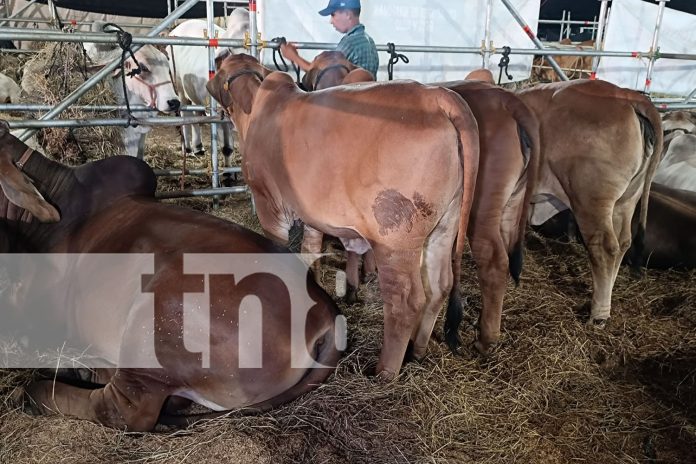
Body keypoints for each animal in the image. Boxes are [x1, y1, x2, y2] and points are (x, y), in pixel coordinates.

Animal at [167, 7, 249, 169]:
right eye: (230, 49)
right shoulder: (218, 114)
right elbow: (227, 147)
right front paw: (228, 173)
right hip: (179, 88)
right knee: (185, 114)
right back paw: (187, 148)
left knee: (195, 115)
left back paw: (198, 146)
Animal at [207, 53, 478, 380]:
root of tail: (438, 96)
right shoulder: (310, 213)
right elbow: (309, 251)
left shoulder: (267, 203)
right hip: (445, 225)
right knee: (440, 286)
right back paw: (417, 351)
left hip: (395, 237)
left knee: (406, 301)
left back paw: (385, 371)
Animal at [516, 80, 664, 324]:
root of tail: (626, 95)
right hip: (626, 199)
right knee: (623, 242)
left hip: (590, 200)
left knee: (604, 247)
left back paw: (598, 314)